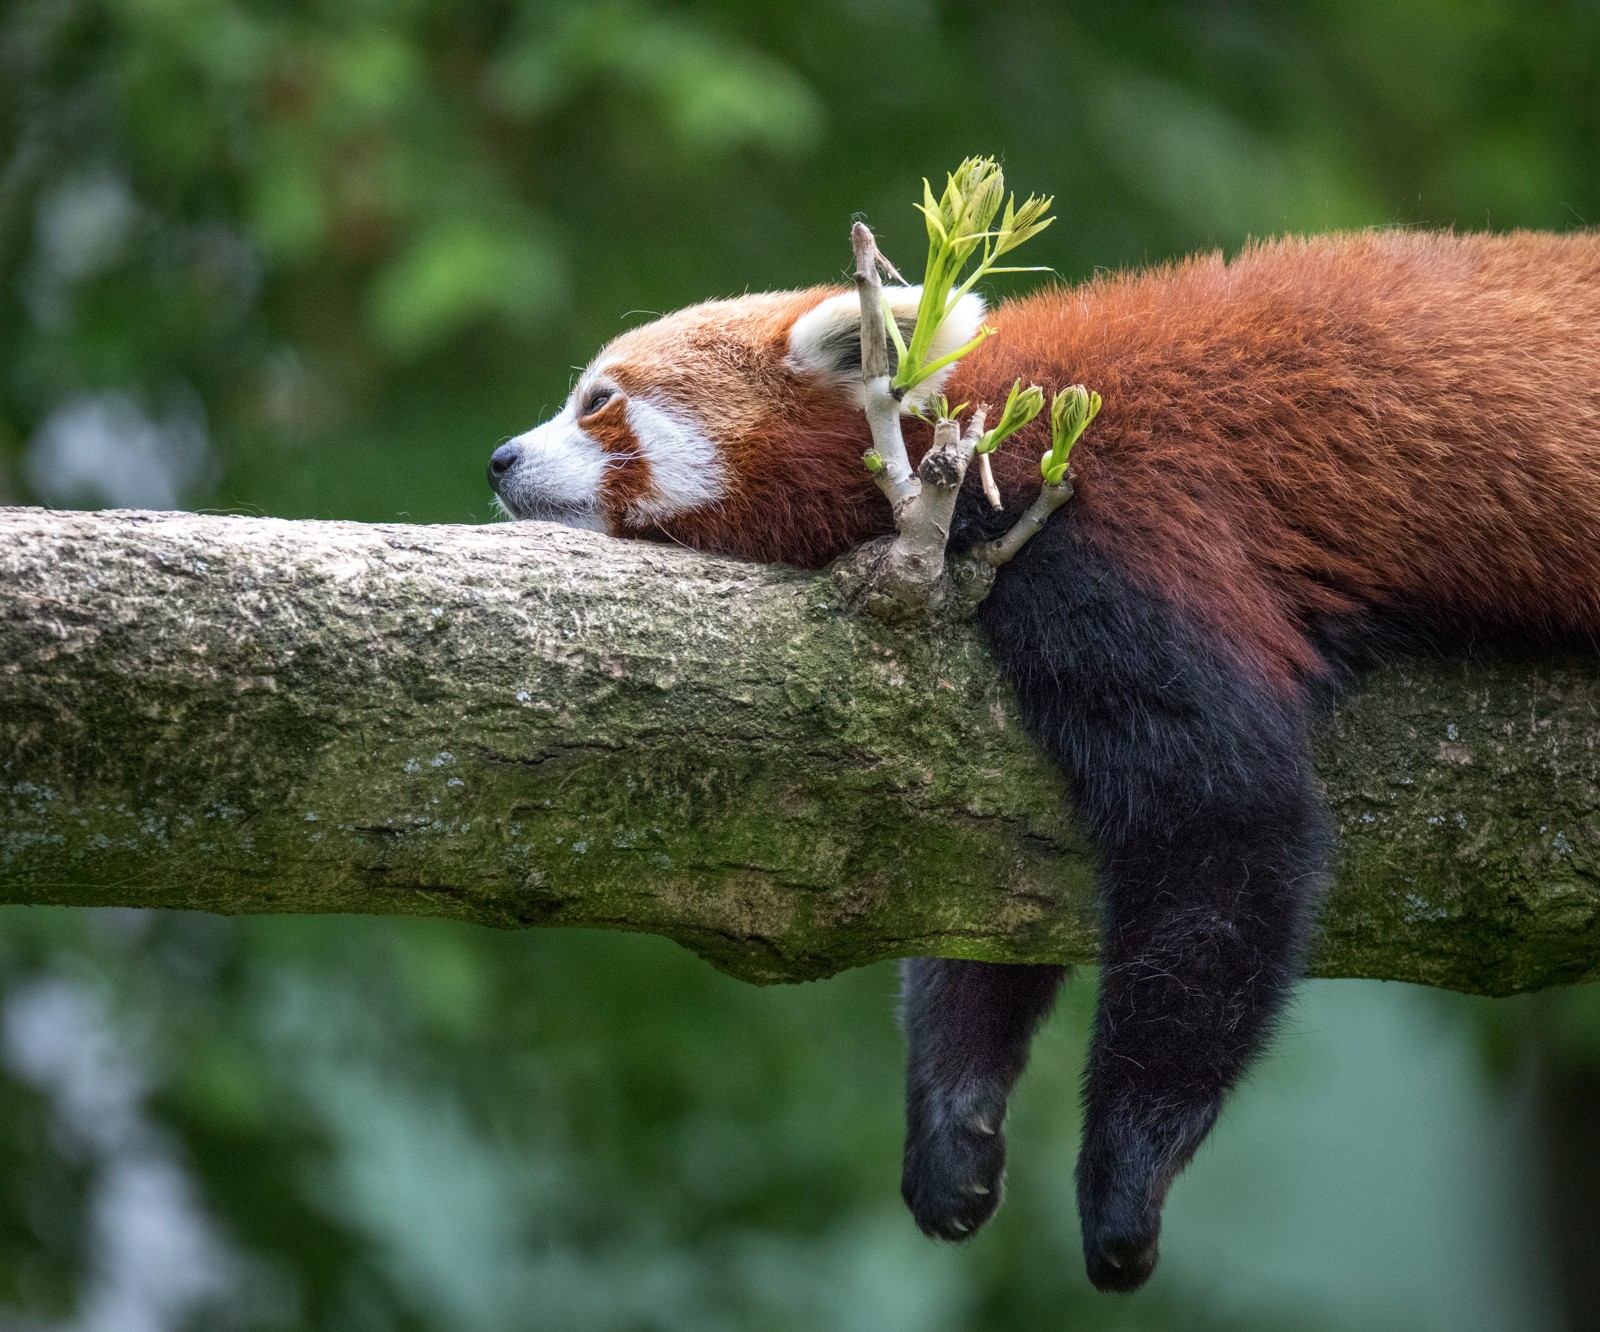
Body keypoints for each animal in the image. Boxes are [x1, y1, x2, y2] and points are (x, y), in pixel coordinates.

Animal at [488, 228, 1600, 1292]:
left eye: (599, 403)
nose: (499, 457)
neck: (968, 440)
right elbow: (982, 899)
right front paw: (954, 1134)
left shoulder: (1109, 528)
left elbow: (1227, 824)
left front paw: (1125, 1182)